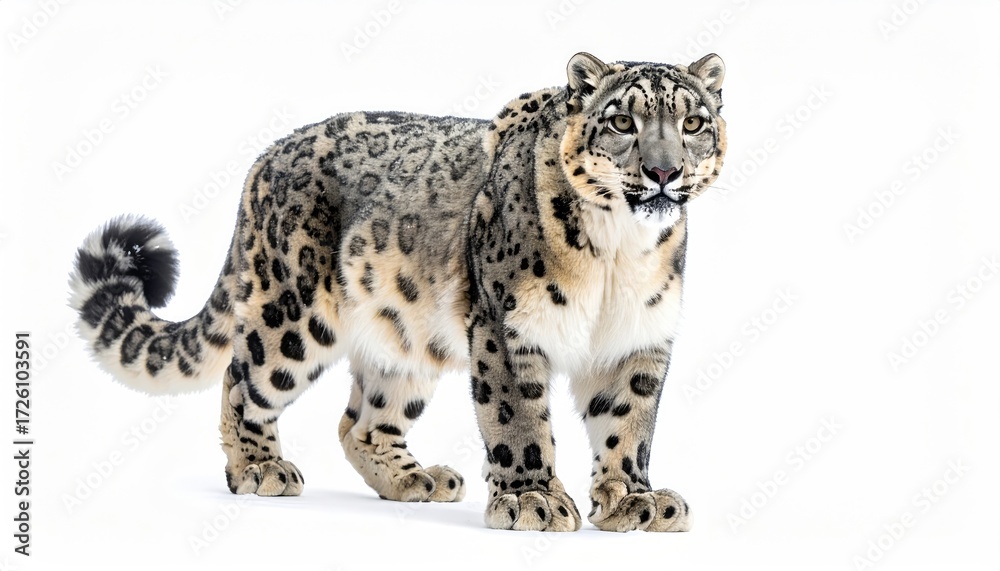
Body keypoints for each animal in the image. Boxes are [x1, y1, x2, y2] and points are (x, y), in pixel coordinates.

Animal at [69, 52, 726, 532]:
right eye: (622, 121)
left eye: (692, 123)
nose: (664, 171)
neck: (620, 252)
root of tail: (267, 158)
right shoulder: (506, 326)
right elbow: (518, 418)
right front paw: (531, 498)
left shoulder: (638, 338)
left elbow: (628, 425)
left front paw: (636, 500)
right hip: (294, 314)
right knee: (242, 377)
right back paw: (261, 466)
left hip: (405, 336)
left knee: (361, 421)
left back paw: (417, 478)